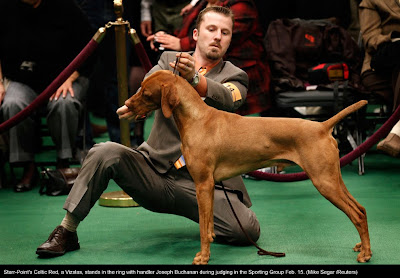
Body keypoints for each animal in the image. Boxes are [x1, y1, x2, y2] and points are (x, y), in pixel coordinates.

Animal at [122, 69, 372, 264]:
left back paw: (366, 254)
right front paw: (209, 249)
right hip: (333, 178)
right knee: (360, 209)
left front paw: (203, 257)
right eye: (140, 87)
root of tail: (322, 126)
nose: (125, 105)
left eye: (145, 92)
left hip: (324, 182)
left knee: (356, 215)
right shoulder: (208, 187)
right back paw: (362, 246)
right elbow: (209, 226)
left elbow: (203, 228)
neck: (196, 119)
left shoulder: (203, 184)